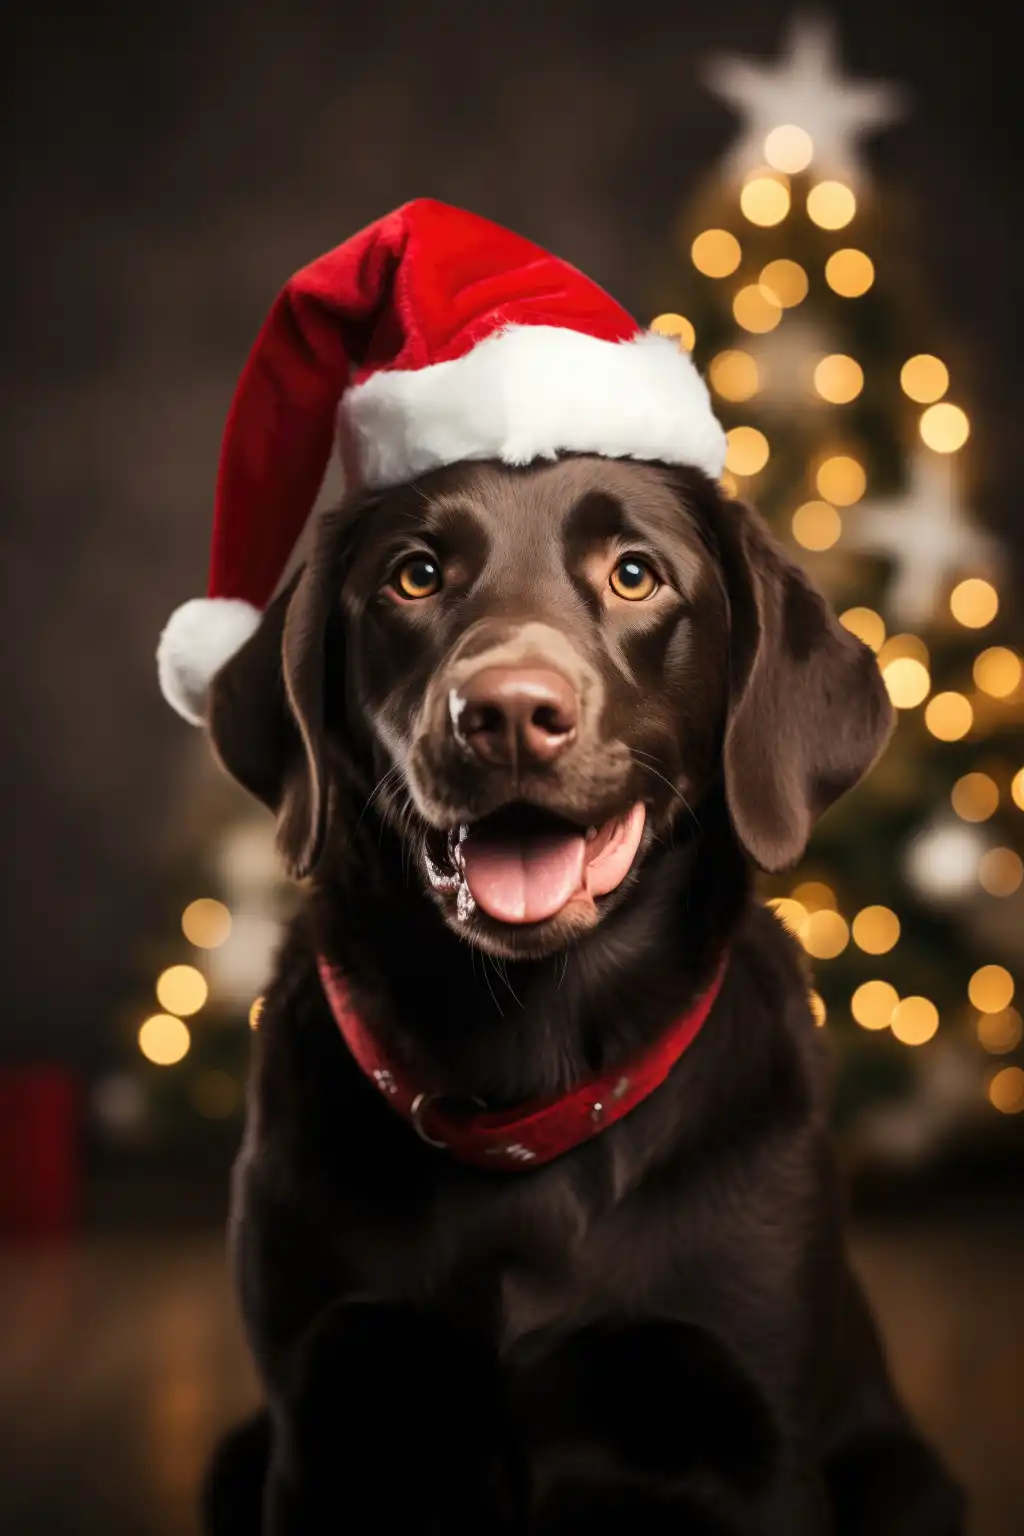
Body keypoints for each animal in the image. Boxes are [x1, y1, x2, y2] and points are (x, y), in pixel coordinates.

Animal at [202, 448, 970, 1529]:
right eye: (414, 576)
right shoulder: (320, 1436)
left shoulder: (760, 1449)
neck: (529, 1072)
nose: (508, 716)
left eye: (635, 575)